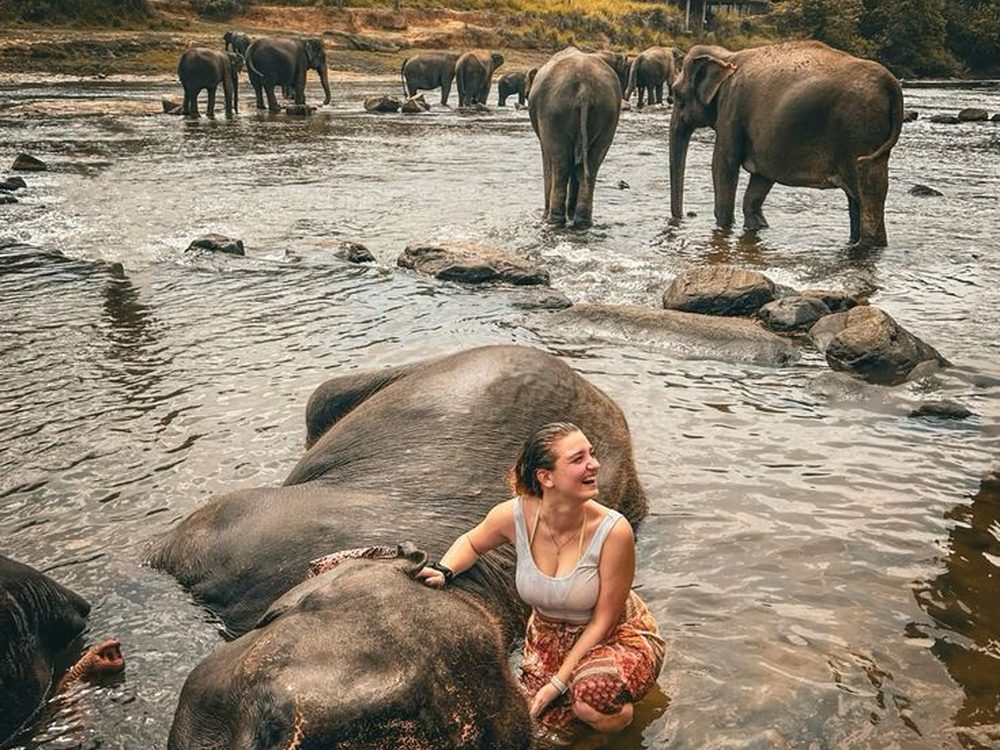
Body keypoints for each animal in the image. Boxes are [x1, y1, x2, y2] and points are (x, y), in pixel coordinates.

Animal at [528, 47, 622, 229]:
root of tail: (584, 90)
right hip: (608, 114)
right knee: (591, 165)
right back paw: (582, 221)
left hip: (553, 114)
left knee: (561, 164)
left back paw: (553, 220)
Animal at [669, 41, 904, 246]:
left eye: (676, 93)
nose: (682, 218)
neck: (727, 56)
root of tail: (892, 84)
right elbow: (760, 180)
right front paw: (757, 226)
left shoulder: (731, 108)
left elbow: (723, 163)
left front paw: (724, 226)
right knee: (865, 191)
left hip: (858, 128)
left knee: (867, 187)